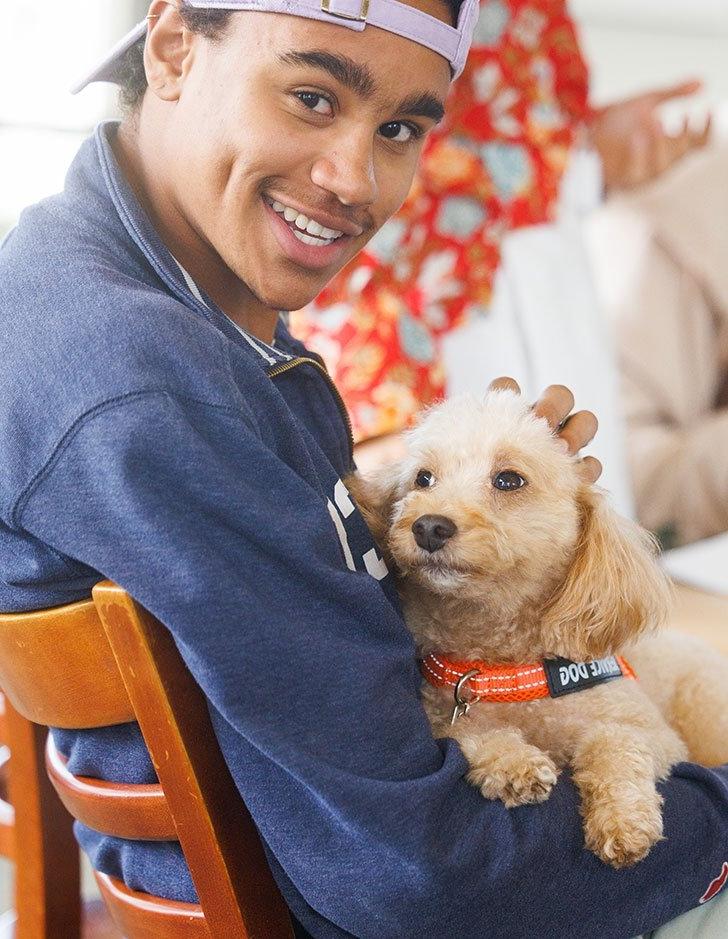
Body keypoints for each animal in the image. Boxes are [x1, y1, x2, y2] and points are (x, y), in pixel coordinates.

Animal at [348, 390, 728, 868]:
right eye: (423, 479)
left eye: (509, 480)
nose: (429, 526)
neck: (509, 671)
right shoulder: (444, 715)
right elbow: (470, 734)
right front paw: (514, 765)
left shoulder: (654, 734)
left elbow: (615, 743)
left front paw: (623, 821)